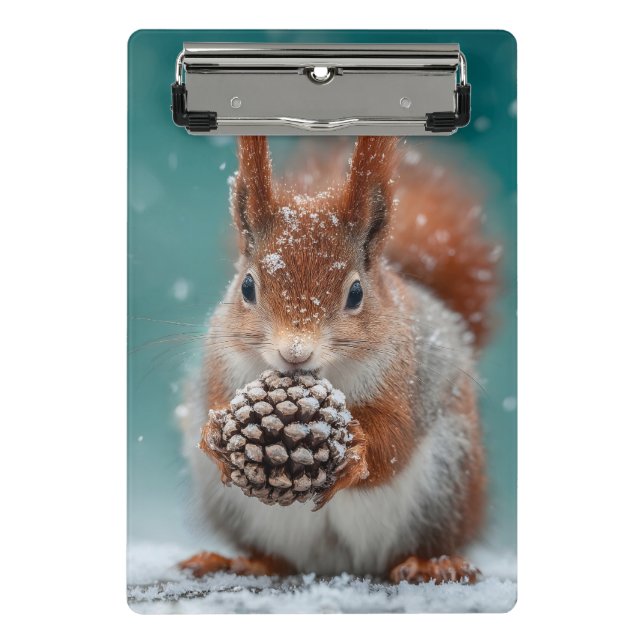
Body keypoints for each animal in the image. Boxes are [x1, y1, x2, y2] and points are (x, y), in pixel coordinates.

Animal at [179, 136, 499, 583]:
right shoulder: (220, 365)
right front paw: (213, 432)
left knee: (426, 541)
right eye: (246, 287)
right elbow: (213, 401)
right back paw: (247, 561)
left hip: (447, 480)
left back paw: (430, 563)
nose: (295, 352)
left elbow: (395, 438)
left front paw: (359, 449)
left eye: (356, 293)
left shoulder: (408, 380)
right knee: (277, 558)